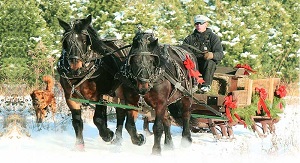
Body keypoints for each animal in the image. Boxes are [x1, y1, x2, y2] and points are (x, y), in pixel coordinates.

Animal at [57, 15, 145, 150]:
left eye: (84, 41)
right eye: (65, 42)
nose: (75, 68)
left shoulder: (100, 95)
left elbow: (97, 119)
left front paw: (107, 134)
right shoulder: (70, 97)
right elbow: (77, 121)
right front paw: (79, 146)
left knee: (122, 112)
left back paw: (125, 138)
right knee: (120, 112)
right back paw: (118, 140)